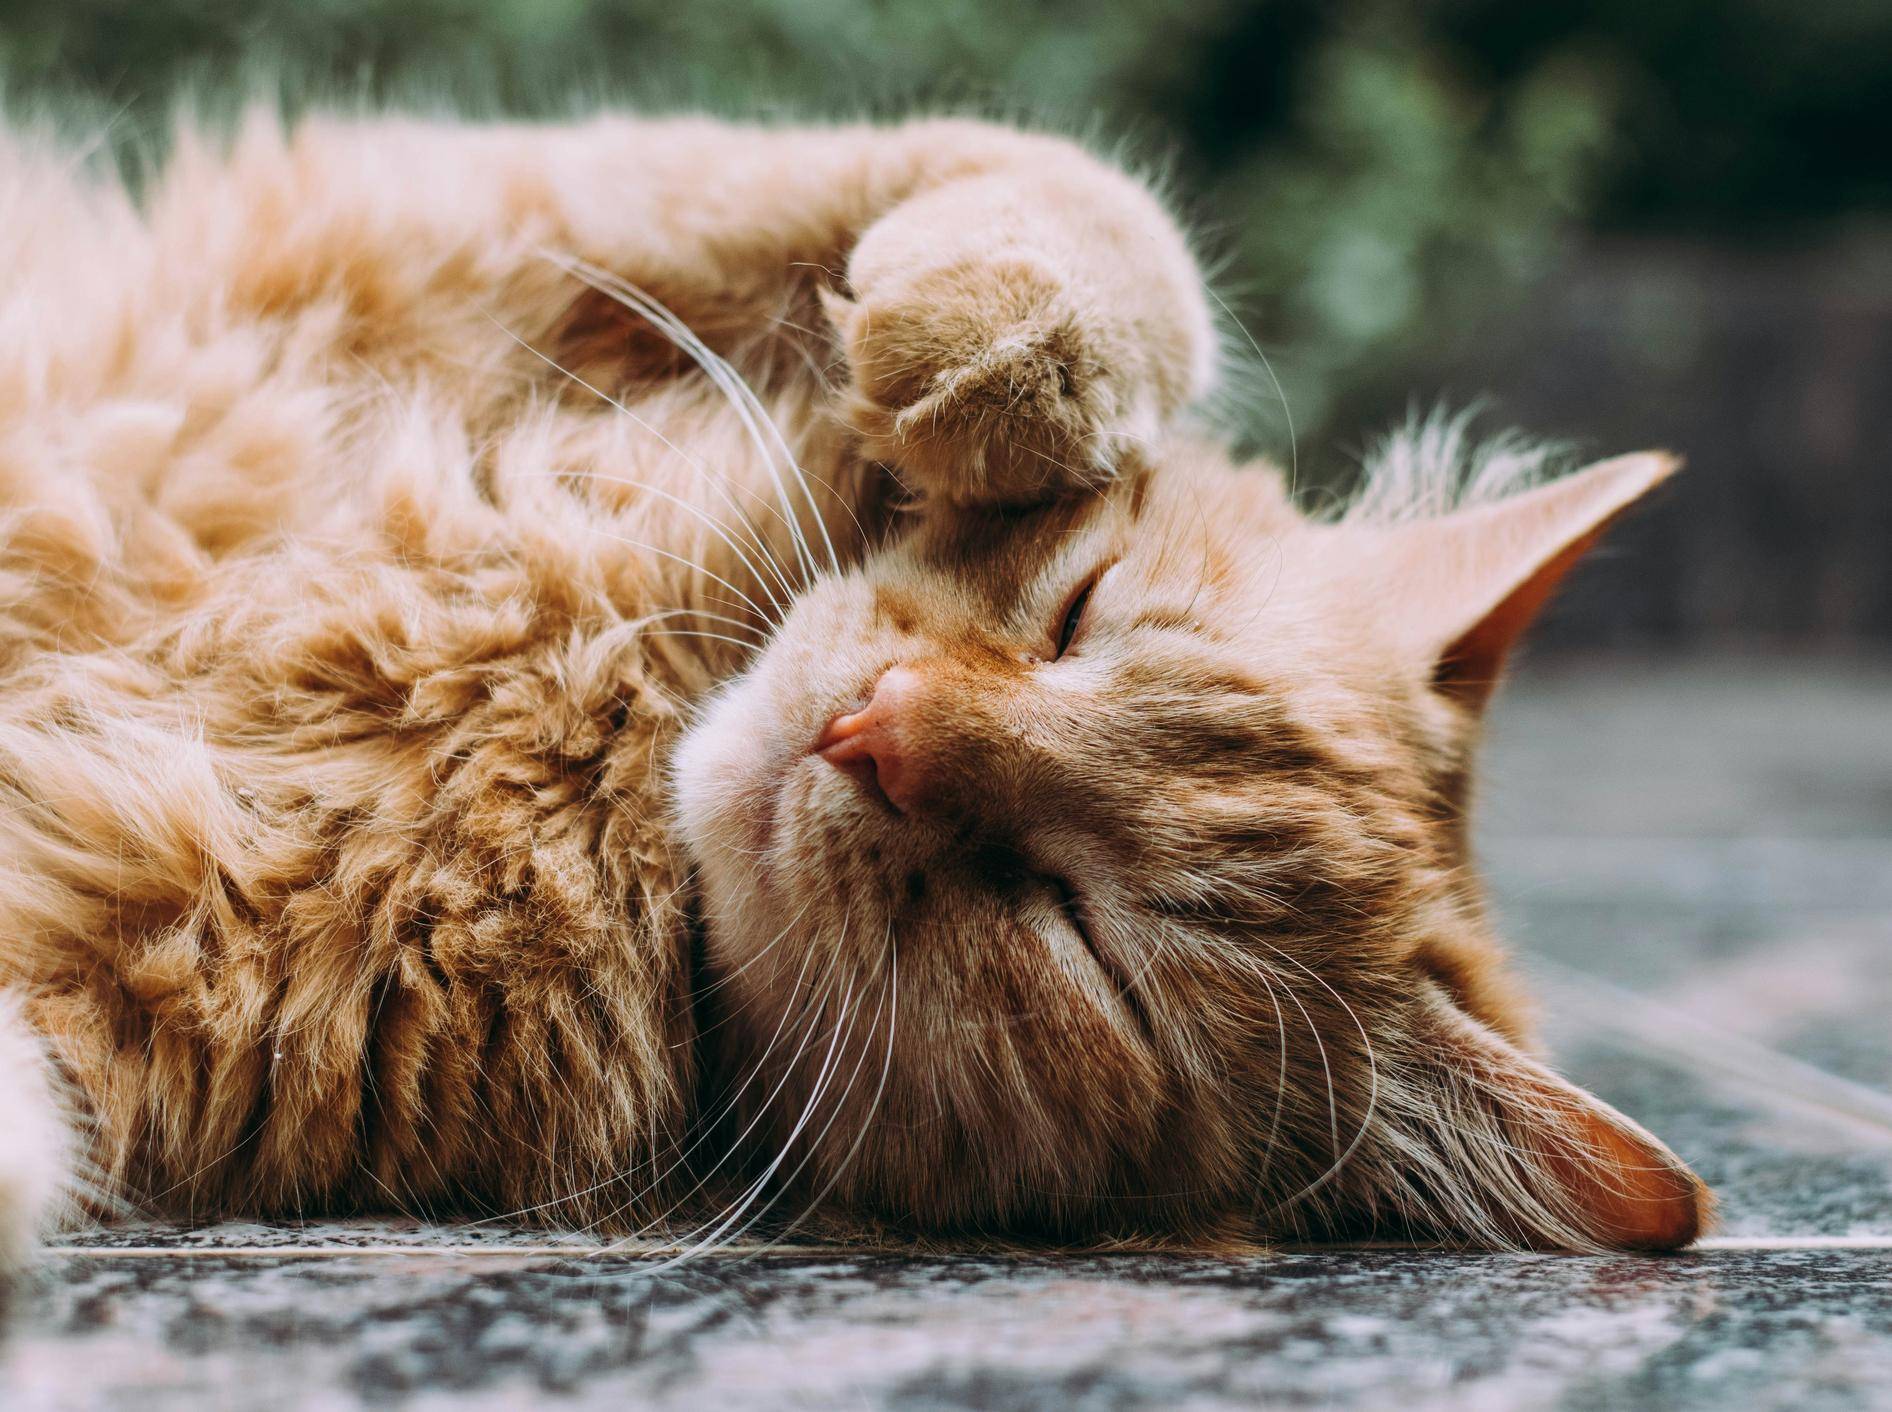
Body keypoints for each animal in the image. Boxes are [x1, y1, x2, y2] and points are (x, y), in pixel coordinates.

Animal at [0, 107, 1717, 1256]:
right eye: (1077, 615)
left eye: (1083, 940)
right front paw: (983, 356)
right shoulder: (466, 221)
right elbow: (1091, 209)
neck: (612, 689)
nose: (874, 734)